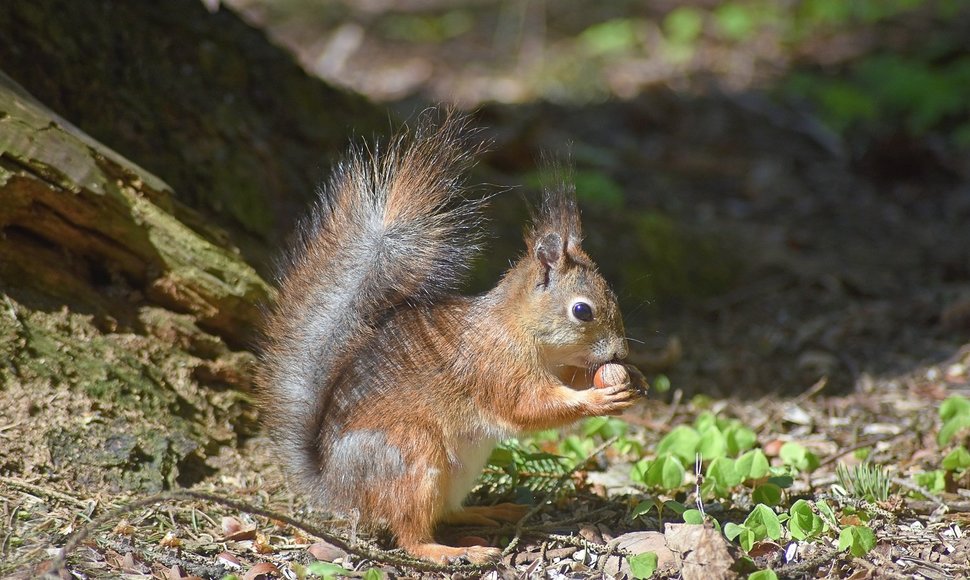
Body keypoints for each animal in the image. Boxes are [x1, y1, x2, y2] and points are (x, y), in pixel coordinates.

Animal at [258, 115, 644, 564]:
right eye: (582, 311)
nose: (621, 351)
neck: (518, 328)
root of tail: (337, 485)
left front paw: (634, 379)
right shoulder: (496, 368)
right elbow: (529, 407)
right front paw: (599, 398)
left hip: (458, 471)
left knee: (448, 512)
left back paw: (492, 511)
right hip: (413, 457)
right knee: (409, 533)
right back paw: (451, 552)